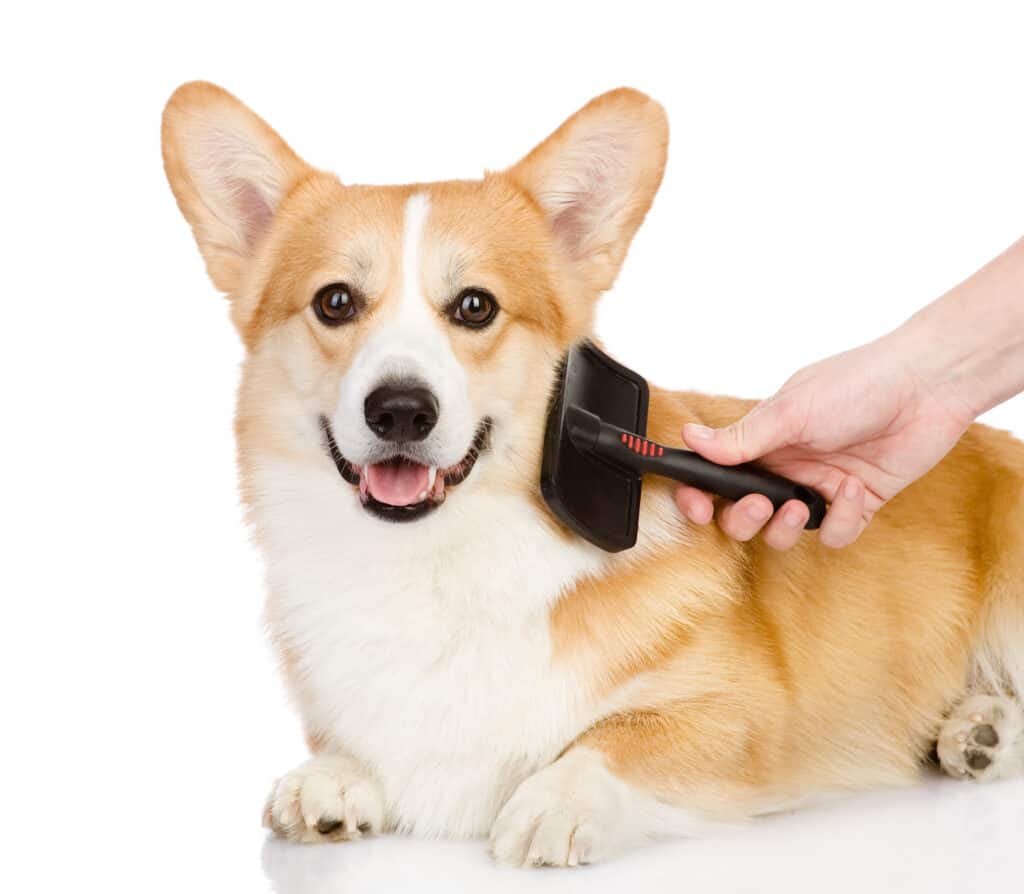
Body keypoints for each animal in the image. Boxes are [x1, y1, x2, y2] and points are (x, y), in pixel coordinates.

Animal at [161, 81, 1024, 864]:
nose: (400, 411)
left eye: (475, 307)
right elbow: (353, 745)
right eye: (335, 302)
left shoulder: (750, 715)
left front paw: (555, 801)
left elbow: (617, 738)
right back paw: (978, 731)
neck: (437, 560)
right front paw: (331, 778)